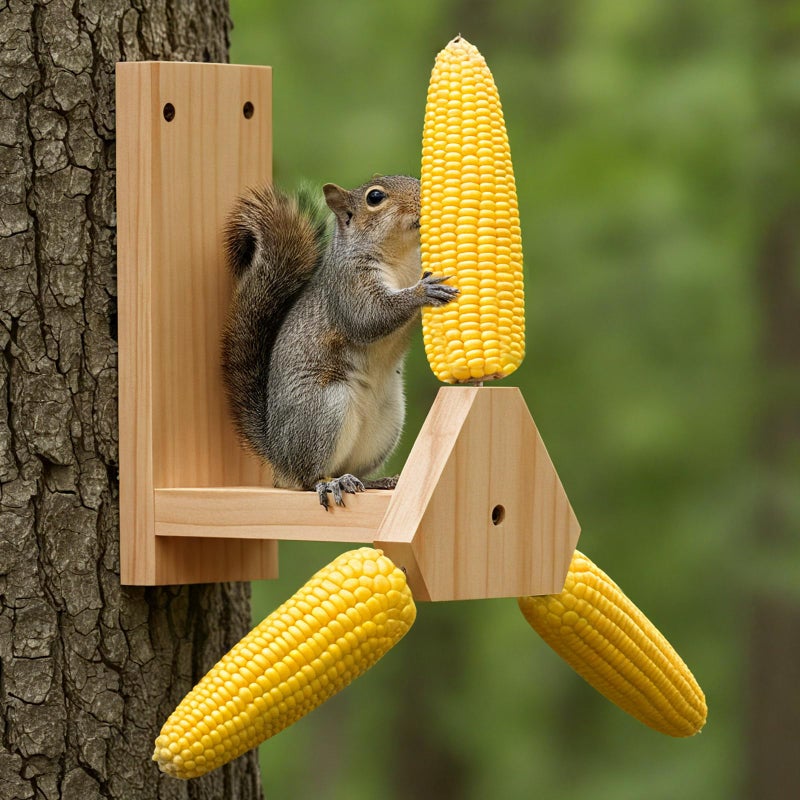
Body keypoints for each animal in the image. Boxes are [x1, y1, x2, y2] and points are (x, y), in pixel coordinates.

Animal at [221, 175, 458, 508]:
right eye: (375, 197)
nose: (426, 199)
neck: (400, 257)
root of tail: (279, 455)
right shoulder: (350, 286)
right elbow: (370, 317)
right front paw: (422, 292)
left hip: (387, 420)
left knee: (351, 468)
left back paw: (376, 481)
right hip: (324, 409)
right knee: (308, 477)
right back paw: (331, 483)